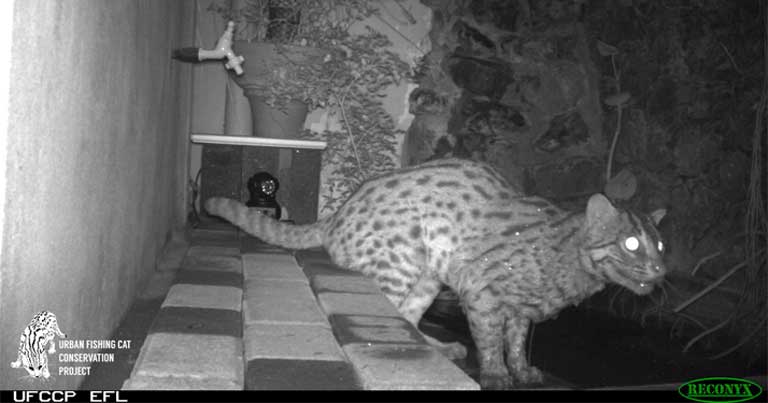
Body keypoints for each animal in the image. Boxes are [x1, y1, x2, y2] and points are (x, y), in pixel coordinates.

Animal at [206, 159, 664, 390]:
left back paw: (441, 347)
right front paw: (496, 374)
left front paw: (521, 371)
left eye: (660, 246)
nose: (661, 271)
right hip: (401, 264)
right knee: (394, 320)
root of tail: (334, 215)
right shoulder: (483, 292)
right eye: (631, 244)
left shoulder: (519, 310)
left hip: (428, 276)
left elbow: (516, 343)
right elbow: (490, 340)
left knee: (408, 320)